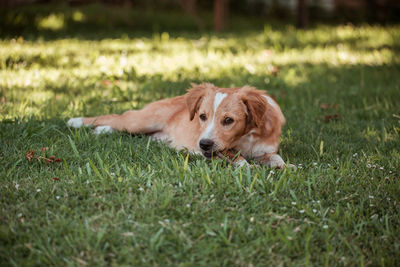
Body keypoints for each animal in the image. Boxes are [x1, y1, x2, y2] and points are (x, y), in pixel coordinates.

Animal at [68, 82, 288, 169]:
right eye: (202, 116)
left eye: (228, 120)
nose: (203, 145)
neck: (247, 137)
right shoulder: (220, 151)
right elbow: (237, 157)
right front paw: (248, 168)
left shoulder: (265, 150)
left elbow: (276, 158)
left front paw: (285, 167)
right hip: (140, 122)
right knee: (117, 116)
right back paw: (76, 121)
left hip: (152, 135)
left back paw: (101, 131)